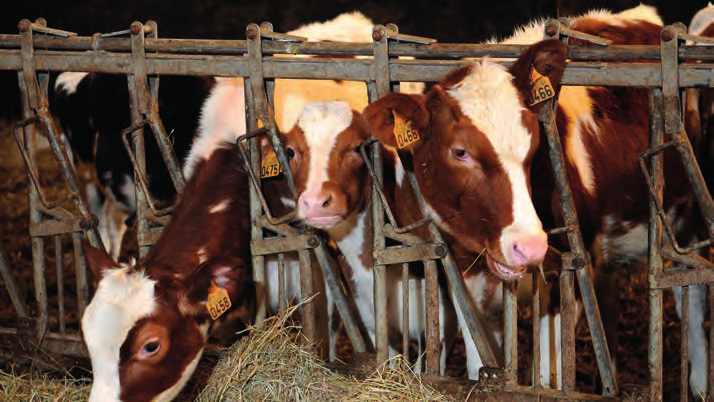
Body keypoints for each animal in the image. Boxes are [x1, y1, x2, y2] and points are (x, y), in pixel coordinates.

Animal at [364, 3, 708, 396]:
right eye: (460, 151)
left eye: (534, 140)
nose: (529, 246)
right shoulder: (467, 281)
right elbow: (481, 362)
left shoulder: (564, 275)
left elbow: (546, 376)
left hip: (689, 217)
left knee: (692, 294)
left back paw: (698, 384)